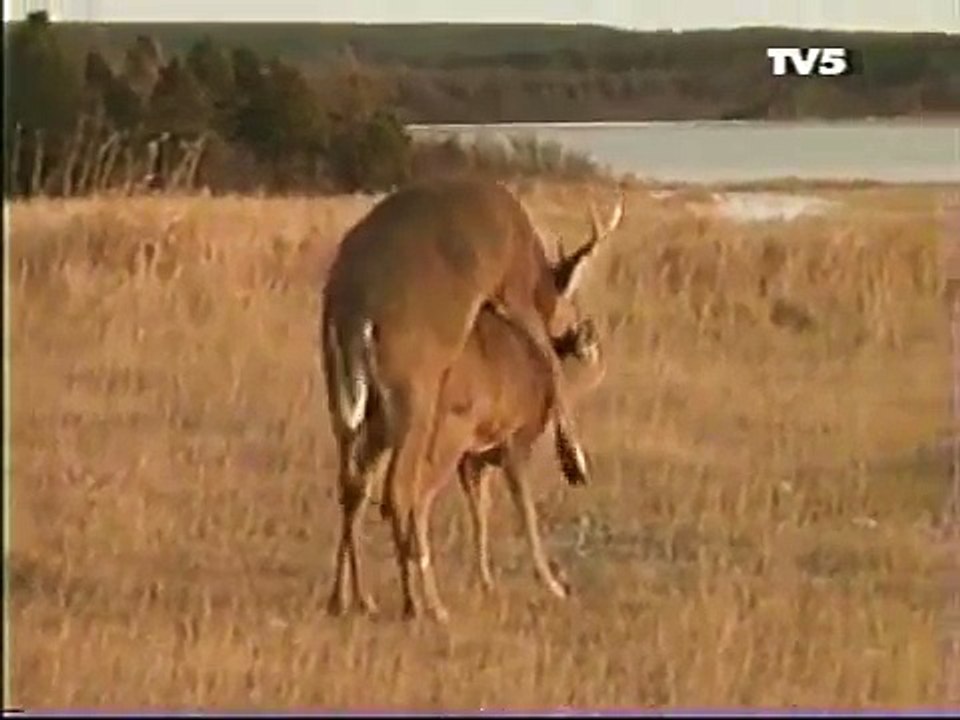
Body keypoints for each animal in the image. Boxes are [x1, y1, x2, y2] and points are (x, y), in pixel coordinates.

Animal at [321, 178, 624, 620]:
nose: (583, 331)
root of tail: (355, 310)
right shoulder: (514, 292)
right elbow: (549, 364)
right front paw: (574, 464)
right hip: (415, 392)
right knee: (399, 491)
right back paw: (422, 605)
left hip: (342, 395)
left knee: (352, 483)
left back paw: (350, 598)